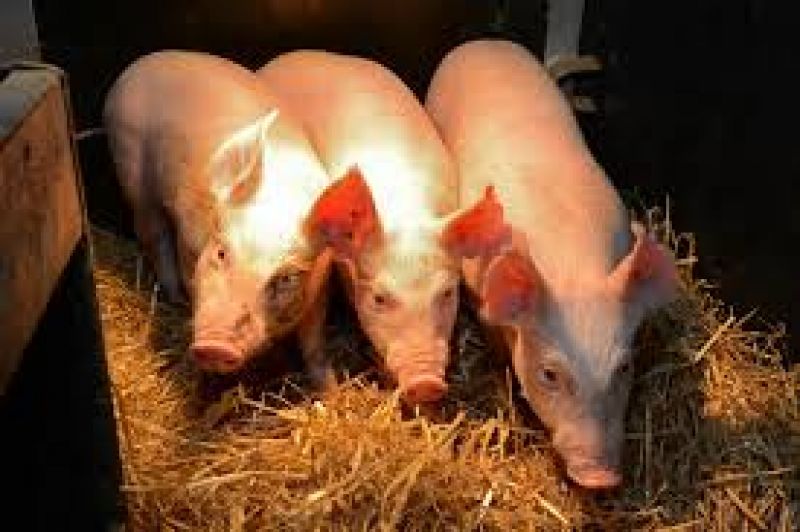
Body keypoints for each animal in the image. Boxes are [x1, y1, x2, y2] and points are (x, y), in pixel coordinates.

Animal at [103, 50, 341, 385]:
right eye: (221, 253)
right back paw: (173, 297)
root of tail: (143, 62)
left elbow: (314, 340)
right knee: (151, 231)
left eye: (286, 278)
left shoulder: (321, 283)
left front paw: (329, 387)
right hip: (130, 165)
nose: (216, 346)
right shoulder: (188, 238)